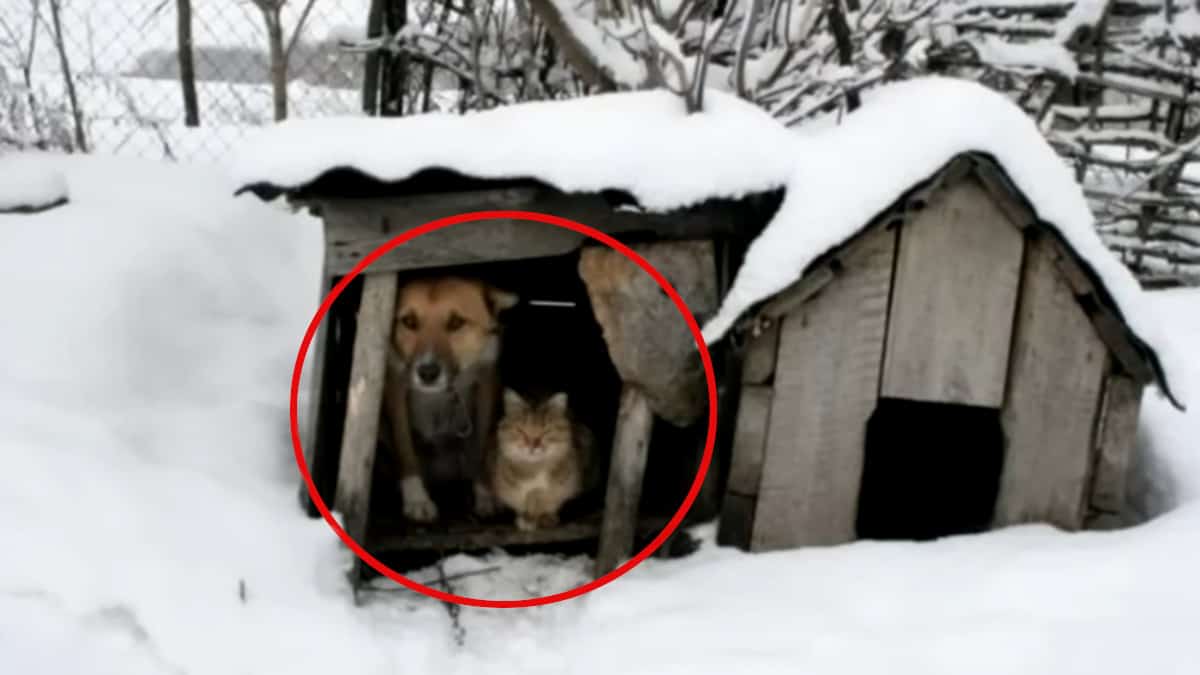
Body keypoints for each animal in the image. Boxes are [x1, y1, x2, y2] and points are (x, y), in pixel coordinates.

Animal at [381, 273, 518, 521]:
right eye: (409, 321)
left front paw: (485, 494)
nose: (427, 373)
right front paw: (416, 498)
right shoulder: (394, 385)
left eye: (456, 323)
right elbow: (404, 446)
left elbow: (482, 445)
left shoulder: (487, 383)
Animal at [492, 386, 595, 528]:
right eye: (521, 430)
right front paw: (527, 518)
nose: (532, 445)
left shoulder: (564, 490)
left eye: (546, 431)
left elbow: (545, 500)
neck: (536, 467)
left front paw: (545, 517)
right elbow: (526, 502)